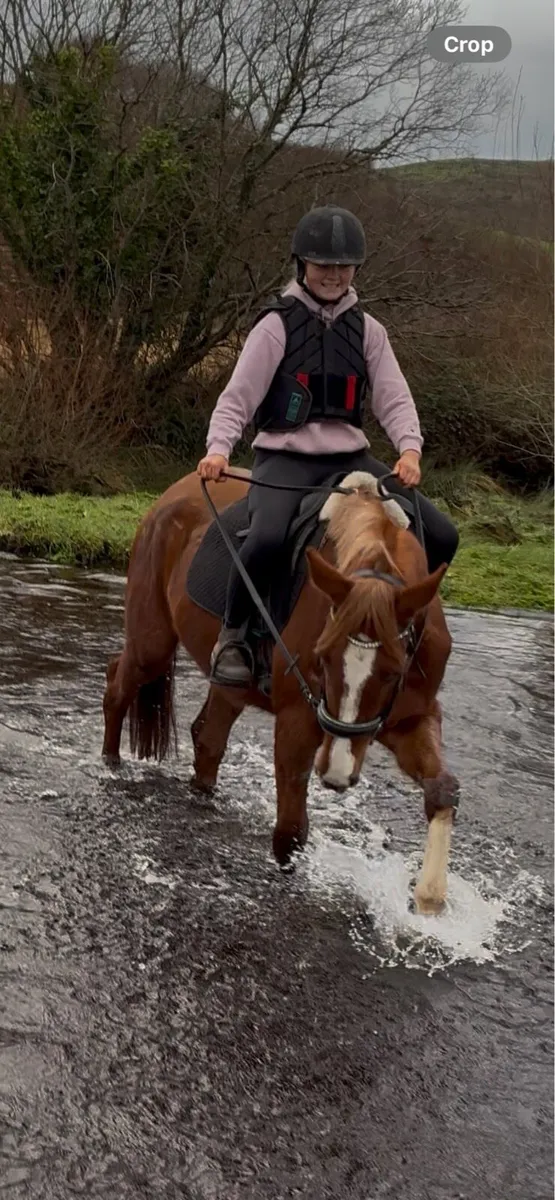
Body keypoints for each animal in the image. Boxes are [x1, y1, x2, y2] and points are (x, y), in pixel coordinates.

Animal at [102, 467, 460, 915]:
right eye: (322, 658)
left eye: (395, 672)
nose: (337, 773)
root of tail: (171, 495)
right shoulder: (297, 719)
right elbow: (290, 833)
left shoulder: (412, 717)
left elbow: (442, 789)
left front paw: (430, 897)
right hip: (152, 641)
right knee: (117, 686)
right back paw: (111, 764)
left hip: (228, 686)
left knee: (208, 738)